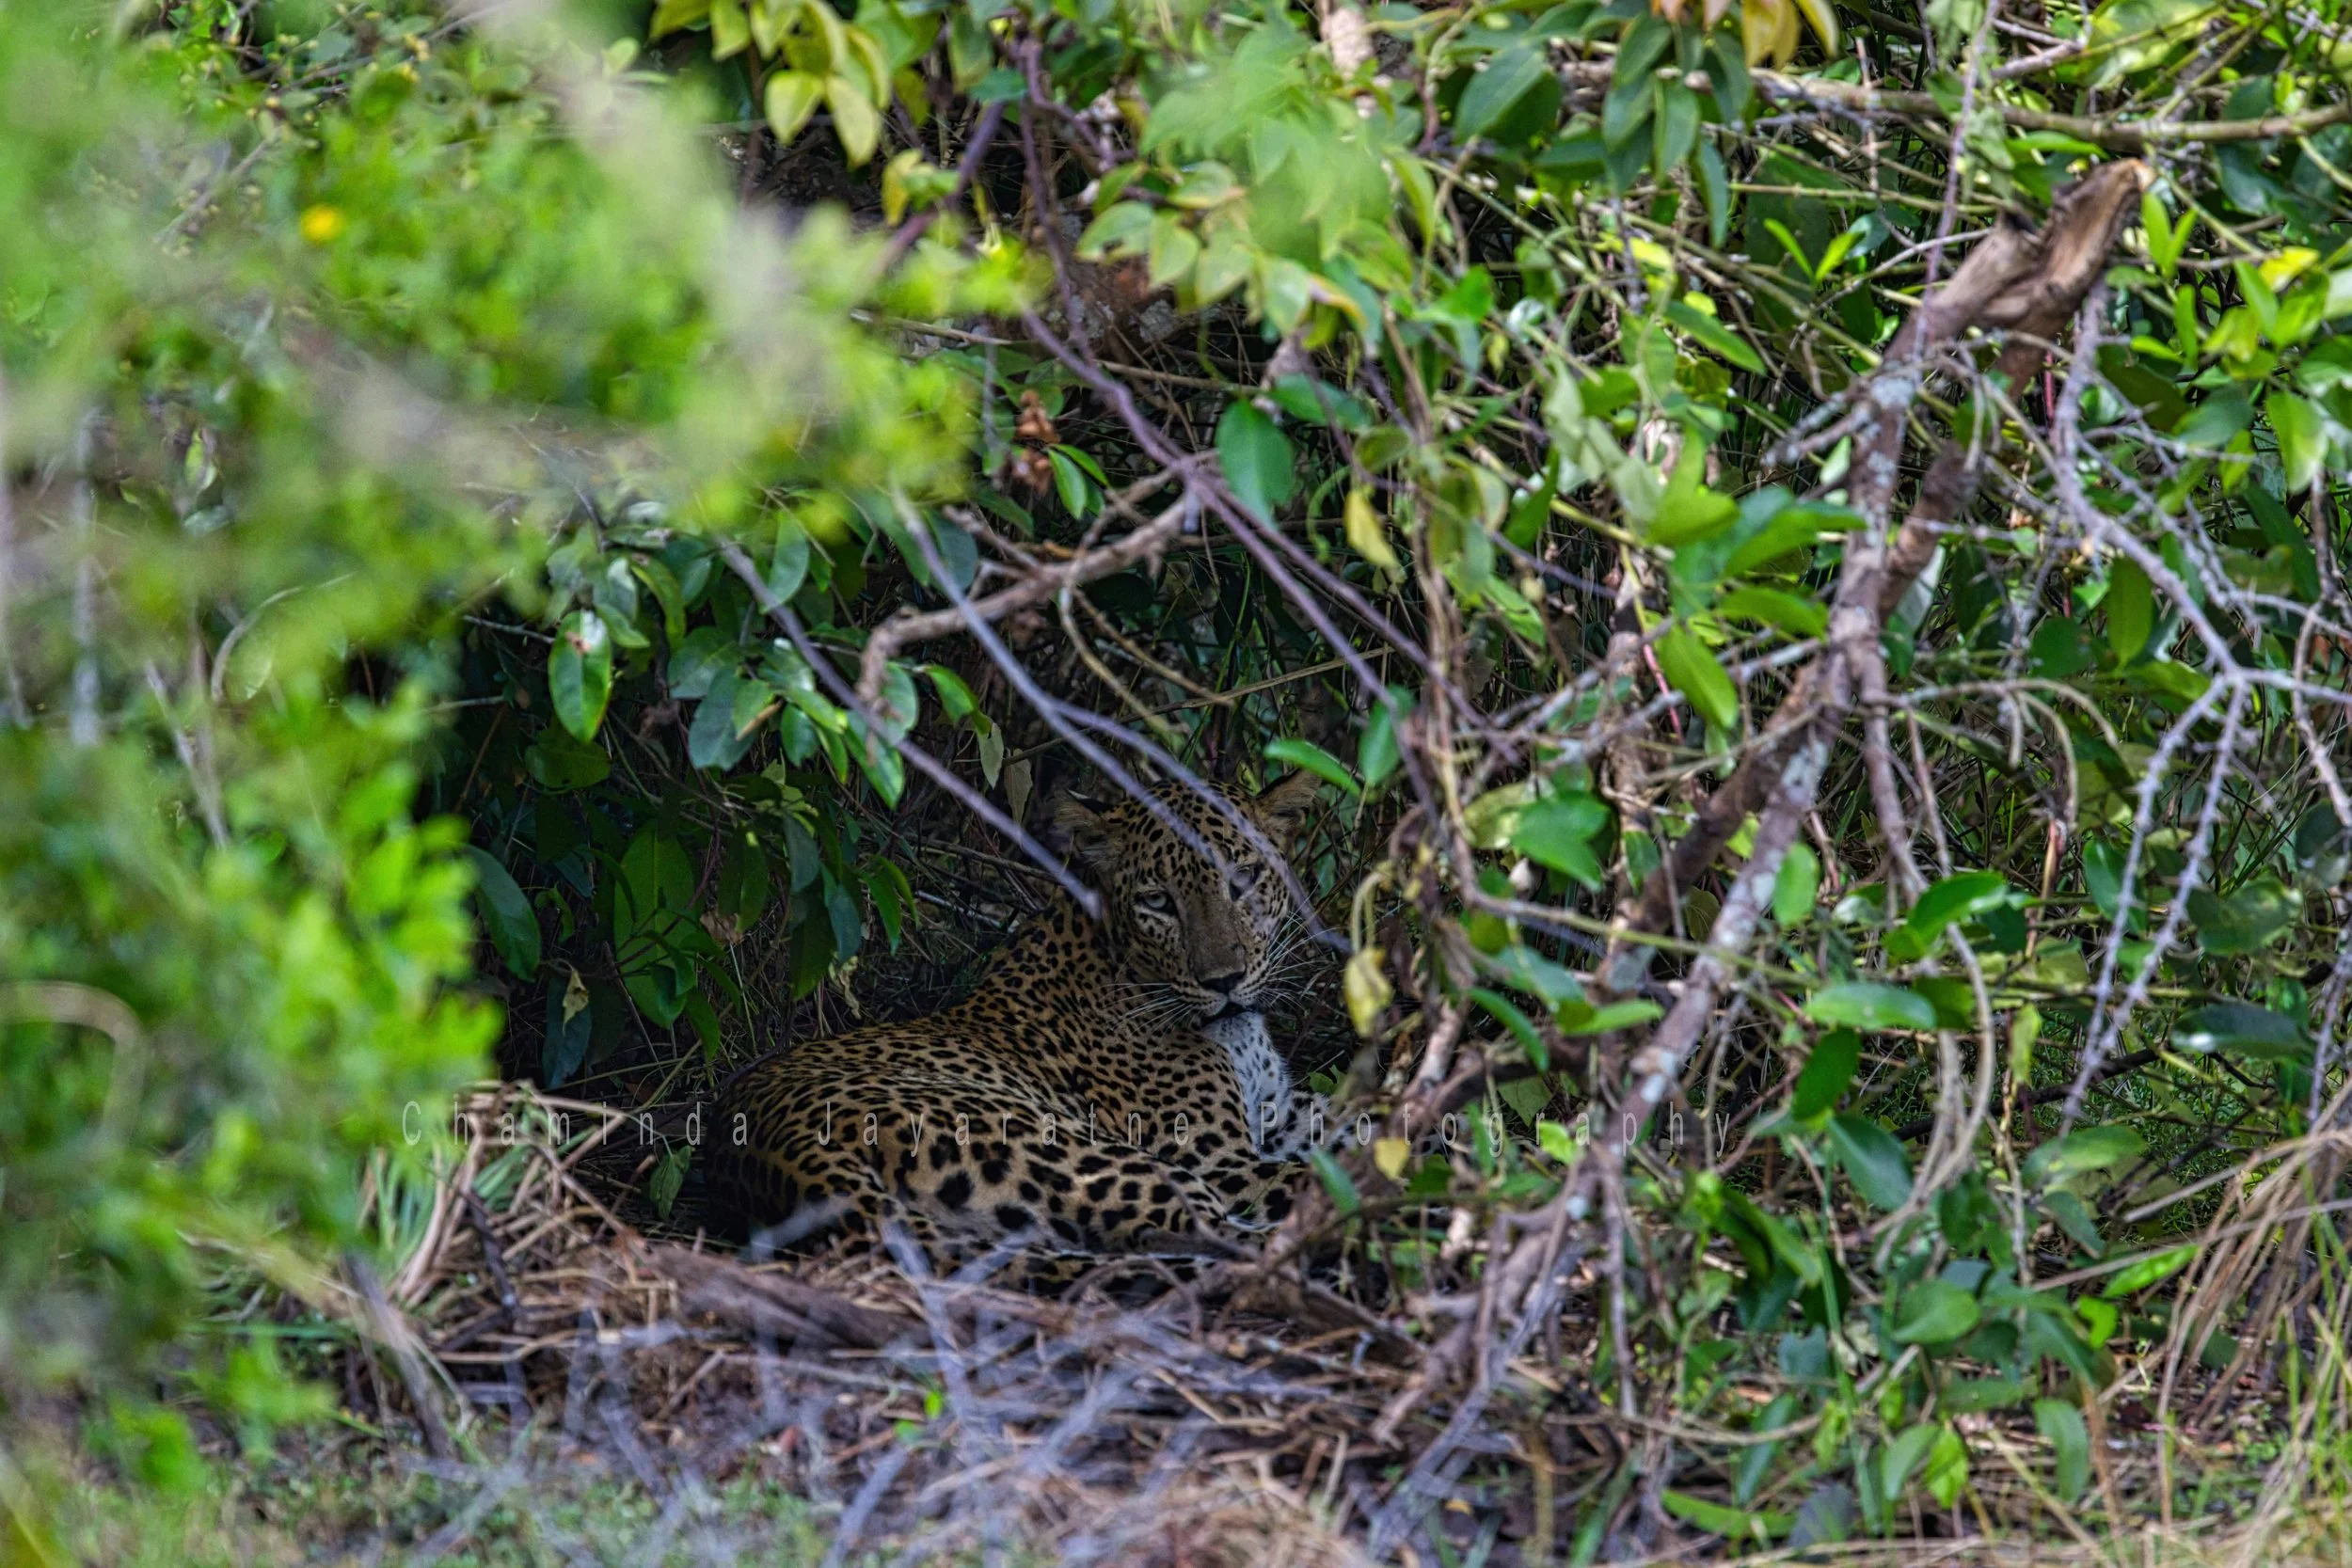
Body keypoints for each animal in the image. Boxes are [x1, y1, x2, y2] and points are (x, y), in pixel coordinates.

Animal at [703, 772, 1342, 1272]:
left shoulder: (1282, 1115)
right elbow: (1321, 1177)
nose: (1224, 981)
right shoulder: (1219, 1158)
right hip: (1085, 1152)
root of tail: (791, 1162)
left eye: (1244, 880)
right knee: (1219, 1241)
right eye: (1158, 901)